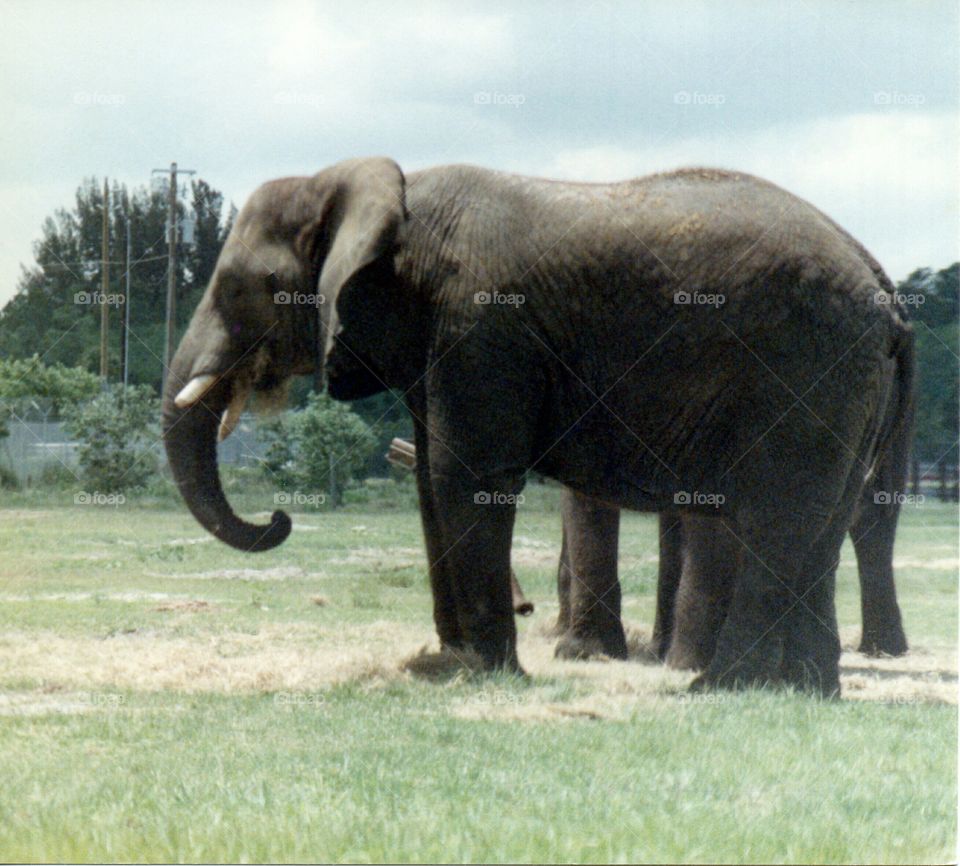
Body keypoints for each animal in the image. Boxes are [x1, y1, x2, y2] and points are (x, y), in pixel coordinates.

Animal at [162, 157, 913, 695]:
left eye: (238, 288)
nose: (279, 518)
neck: (378, 190)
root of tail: (883, 285)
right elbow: (431, 481)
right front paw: (450, 665)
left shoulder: (481, 327)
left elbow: (464, 475)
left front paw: (489, 674)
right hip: (847, 389)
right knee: (823, 520)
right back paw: (803, 691)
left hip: (803, 374)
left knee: (775, 516)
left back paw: (722, 687)